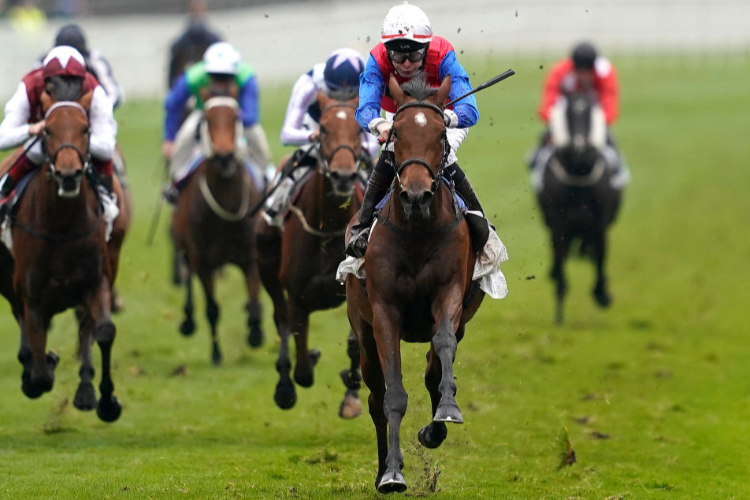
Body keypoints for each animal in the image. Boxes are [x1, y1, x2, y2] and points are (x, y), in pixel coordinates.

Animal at [1, 86, 131, 422]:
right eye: (47, 130)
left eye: (85, 129)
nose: (69, 174)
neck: (61, 226)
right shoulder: (32, 296)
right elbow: (38, 367)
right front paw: (38, 369)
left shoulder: (96, 282)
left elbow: (104, 331)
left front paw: (107, 401)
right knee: (20, 319)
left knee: (84, 325)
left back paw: (84, 388)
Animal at [172, 94, 266, 364]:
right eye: (207, 119)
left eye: (236, 118)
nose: (224, 156)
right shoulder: (203, 260)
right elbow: (212, 308)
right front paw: (216, 354)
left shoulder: (250, 257)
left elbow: (254, 300)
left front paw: (256, 334)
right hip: (184, 246)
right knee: (188, 277)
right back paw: (187, 320)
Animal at [256, 93, 368, 414]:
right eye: (325, 129)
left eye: (358, 131)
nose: (343, 175)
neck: (328, 227)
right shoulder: (296, 295)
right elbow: (303, 368)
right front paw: (305, 364)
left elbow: (355, 344)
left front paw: (352, 389)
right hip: (267, 266)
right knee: (280, 319)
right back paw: (284, 385)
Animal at [346, 76, 488, 494]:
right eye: (395, 133)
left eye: (442, 134)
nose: (415, 197)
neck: (416, 232)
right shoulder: (383, 315)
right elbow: (392, 395)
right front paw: (393, 473)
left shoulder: (450, 295)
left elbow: (441, 354)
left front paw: (445, 415)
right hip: (363, 334)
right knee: (375, 397)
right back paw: (382, 469)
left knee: (434, 367)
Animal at [540, 90, 624, 324]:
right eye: (568, 113)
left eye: (590, 111)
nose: (580, 149)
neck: (578, 172)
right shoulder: (558, 224)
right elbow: (560, 258)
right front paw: (559, 311)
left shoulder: (599, 223)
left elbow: (601, 254)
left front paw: (601, 293)